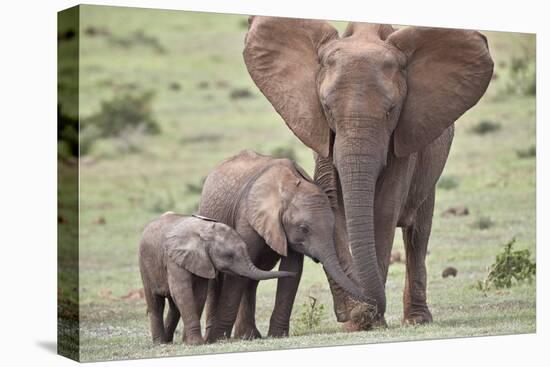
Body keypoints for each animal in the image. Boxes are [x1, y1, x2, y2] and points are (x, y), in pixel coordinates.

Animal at [140, 211, 296, 346]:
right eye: (229, 256)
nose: (292, 273)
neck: (204, 233)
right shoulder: (173, 259)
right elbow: (182, 291)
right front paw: (196, 343)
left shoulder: (202, 261)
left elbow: (199, 294)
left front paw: (189, 342)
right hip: (144, 265)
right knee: (156, 303)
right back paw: (159, 343)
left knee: (174, 306)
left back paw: (167, 341)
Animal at [198, 149, 370, 342]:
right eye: (304, 228)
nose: (368, 305)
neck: (288, 187)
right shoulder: (247, 217)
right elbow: (237, 273)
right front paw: (218, 339)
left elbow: (292, 269)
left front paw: (277, 335)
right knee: (220, 278)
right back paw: (216, 338)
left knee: (252, 278)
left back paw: (249, 336)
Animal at [244, 16, 494, 328]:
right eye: (327, 108)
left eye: (391, 110)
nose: (352, 313)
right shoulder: (321, 133)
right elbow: (333, 202)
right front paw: (356, 320)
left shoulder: (404, 136)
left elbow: (384, 210)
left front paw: (370, 320)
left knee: (418, 233)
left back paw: (417, 320)